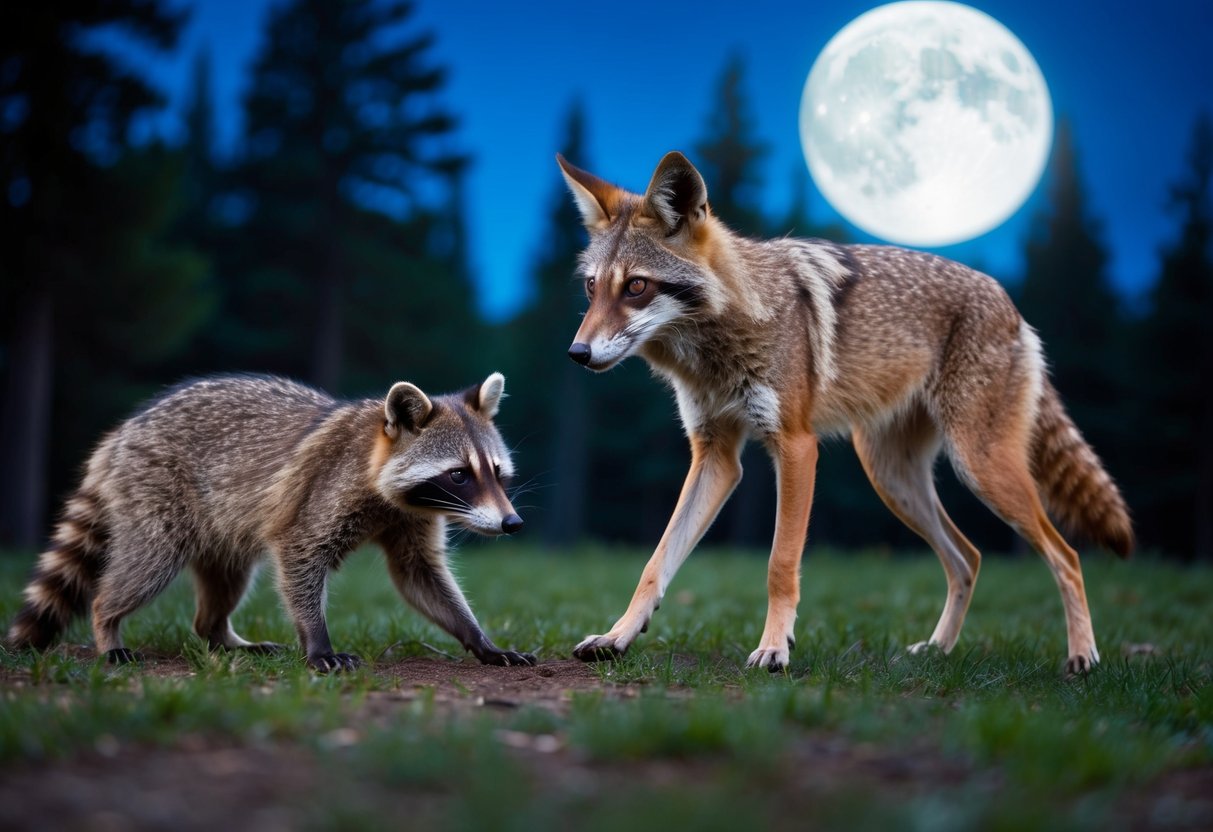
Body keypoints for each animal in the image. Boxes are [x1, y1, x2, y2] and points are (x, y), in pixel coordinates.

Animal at [6, 373, 535, 672]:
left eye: (497, 472)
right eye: (459, 475)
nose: (512, 524)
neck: (376, 453)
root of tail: (119, 437)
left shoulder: (410, 518)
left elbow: (419, 574)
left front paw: (479, 638)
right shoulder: (322, 495)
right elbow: (300, 556)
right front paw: (318, 642)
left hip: (219, 529)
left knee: (224, 584)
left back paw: (219, 634)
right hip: (153, 494)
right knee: (146, 564)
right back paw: (107, 625)